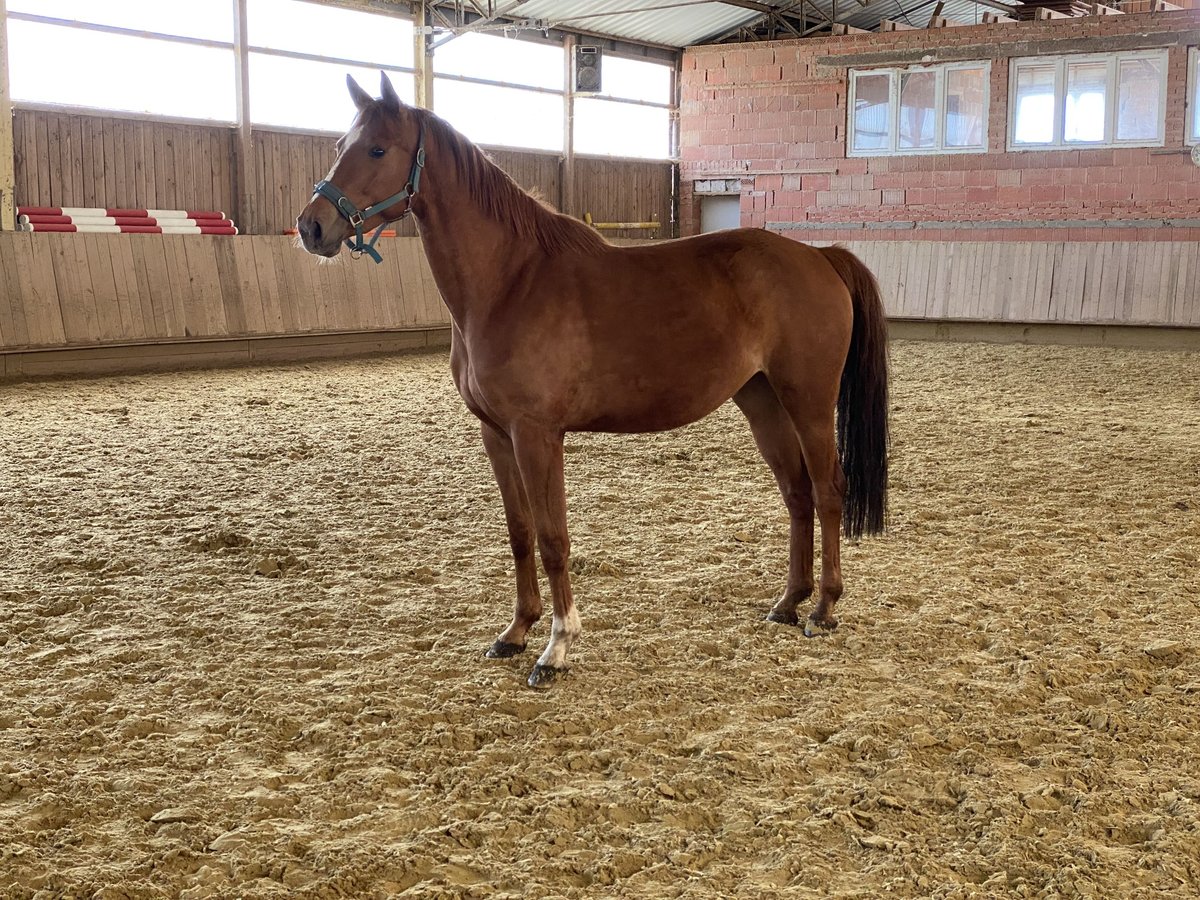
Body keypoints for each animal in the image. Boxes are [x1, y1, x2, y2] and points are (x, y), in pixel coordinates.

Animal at [295, 75, 888, 691]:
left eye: (377, 149)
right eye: (341, 143)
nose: (312, 226)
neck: (510, 281)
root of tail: (820, 257)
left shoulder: (537, 435)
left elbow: (553, 539)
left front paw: (556, 646)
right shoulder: (496, 435)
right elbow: (520, 533)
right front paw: (516, 631)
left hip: (809, 402)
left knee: (829, 490)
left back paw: (824, 608)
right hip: (762, 401)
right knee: (797, 494)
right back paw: (789, 602)